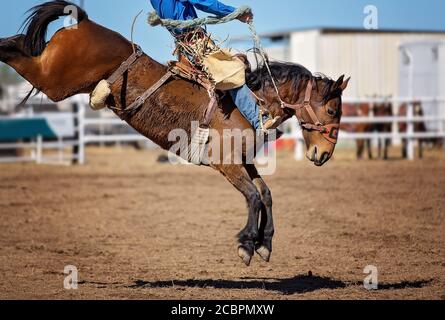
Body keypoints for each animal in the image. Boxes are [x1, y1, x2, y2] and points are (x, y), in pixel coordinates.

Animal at [0, 0, 346, 264]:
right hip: (54, 80)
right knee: (14, 52)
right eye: (333, 110)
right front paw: (246, 244)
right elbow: (252, 196)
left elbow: (265, 194)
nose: (324, 154)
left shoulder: (244, 161)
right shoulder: (227, 163)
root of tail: (83, 22)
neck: (255, 101)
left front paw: (265, 244)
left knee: (16, 44)